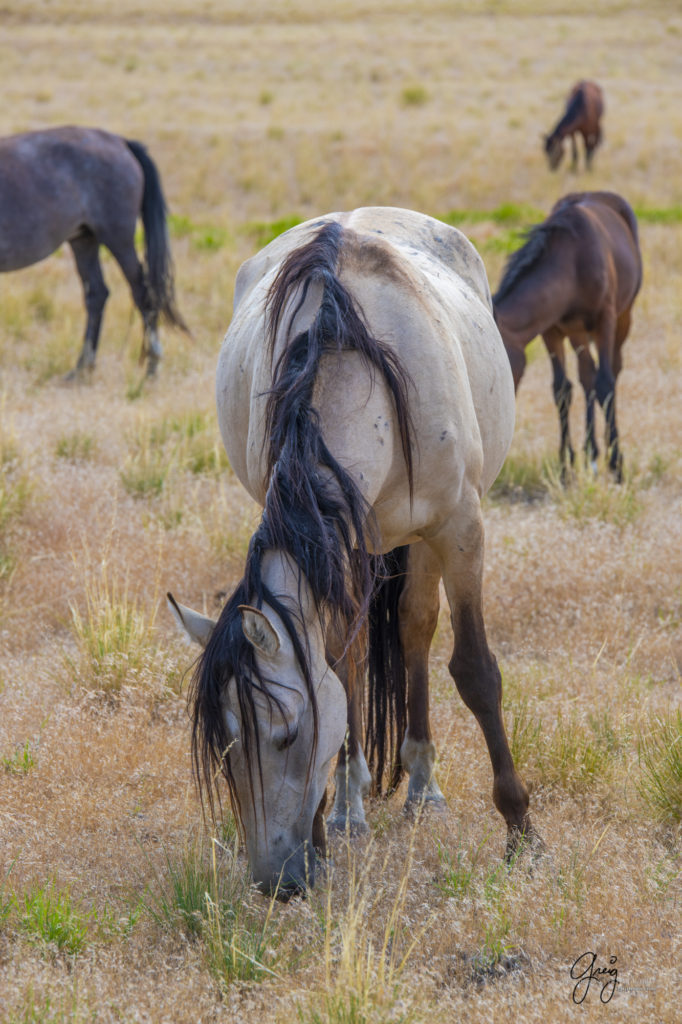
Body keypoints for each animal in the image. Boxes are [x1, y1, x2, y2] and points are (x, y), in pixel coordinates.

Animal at [0, 122, 186, 374]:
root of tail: (119, 141)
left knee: (142, 293)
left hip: (117, 236)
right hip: (84, 239)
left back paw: (151, 368)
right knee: (97, 294)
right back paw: (82, 369)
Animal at [165, 207, 536, 897]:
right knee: (360, 653)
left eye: (285, 736)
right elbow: (338, 670)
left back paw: (423, 786)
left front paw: (522, 831)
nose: (275, 881)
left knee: (415, 629)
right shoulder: (332, 545)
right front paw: (332, 820)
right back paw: (353, 802)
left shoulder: (460, 529)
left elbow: (475, 671)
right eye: (226, 747)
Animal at [491, 192, 638, 479]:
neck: (573, 261)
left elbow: (606, 384)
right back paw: (591, 454)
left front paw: (617, 465)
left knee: (611, 373)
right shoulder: (552, 330)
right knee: (587, 375)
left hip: (623, 319)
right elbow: (562, 389)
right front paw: (564, 466)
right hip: (577, 333)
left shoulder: (605, 320)